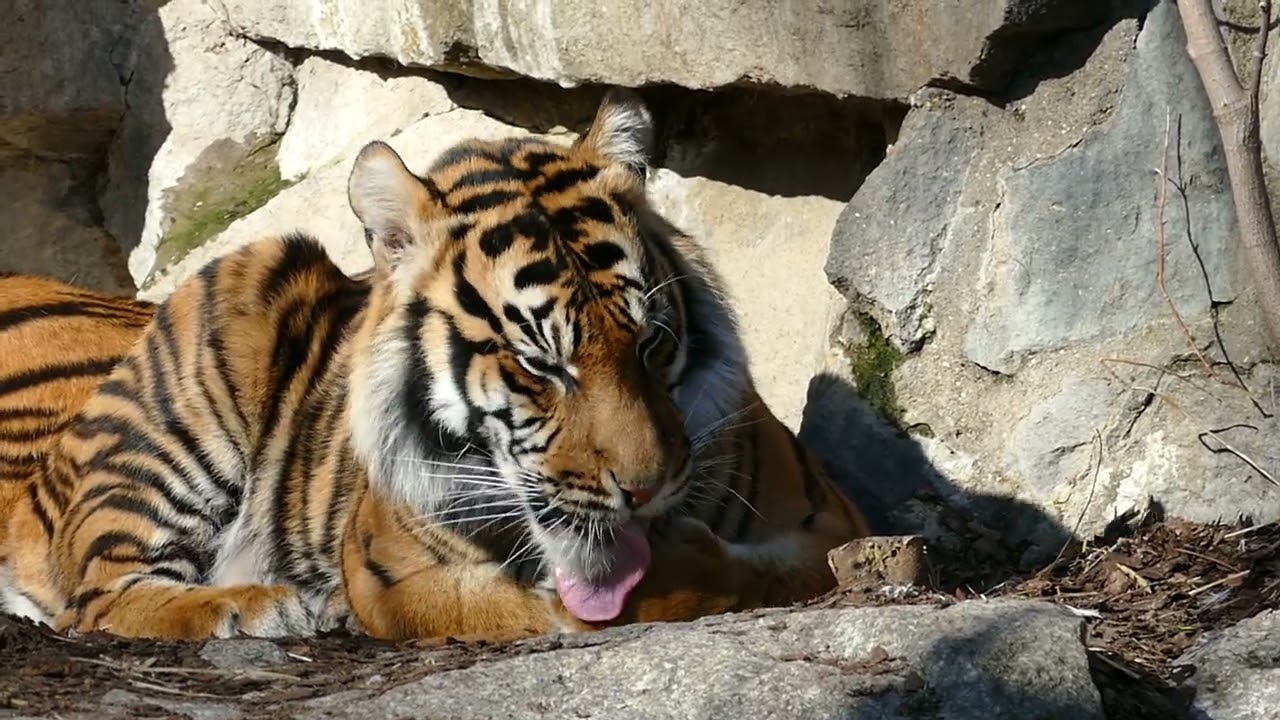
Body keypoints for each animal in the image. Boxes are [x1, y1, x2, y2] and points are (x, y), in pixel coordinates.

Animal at [0, 89, 869, 641]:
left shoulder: (832, 523)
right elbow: (513, 605)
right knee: (96, 600)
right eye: (539, 365)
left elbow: (767, 571)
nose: (647, 492)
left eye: (652, 345)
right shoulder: (394, 572)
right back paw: (261, 607)